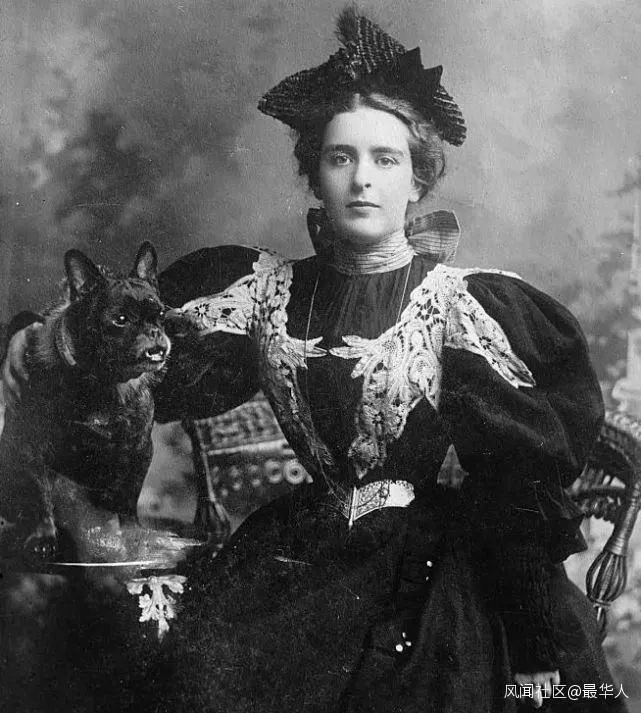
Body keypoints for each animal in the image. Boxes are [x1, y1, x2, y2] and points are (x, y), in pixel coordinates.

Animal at [0, 242, 170, 562]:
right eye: (120, 320)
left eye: (161, 314)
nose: (154, 332)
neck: (102, 381)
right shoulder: (31, 446)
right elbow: (39, 495)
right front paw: (44, 536)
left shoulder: (139, 450)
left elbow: (127, 499)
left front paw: (133, 534)